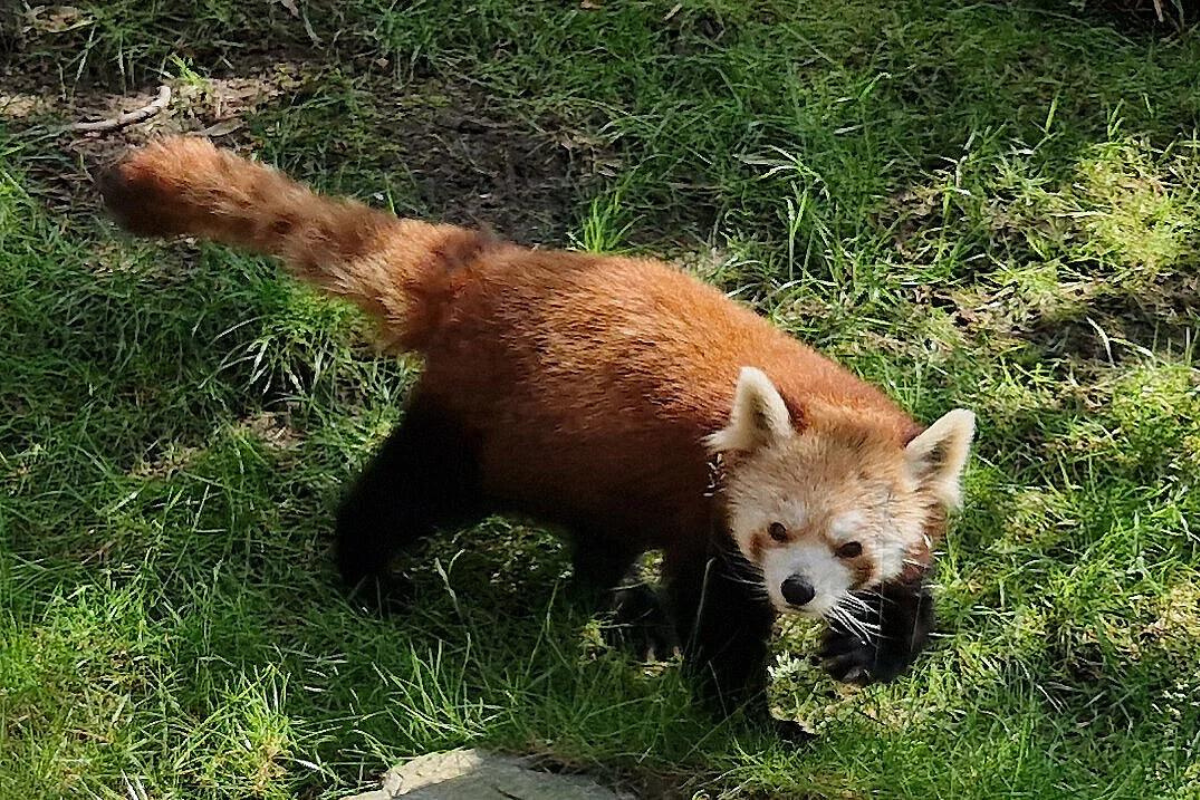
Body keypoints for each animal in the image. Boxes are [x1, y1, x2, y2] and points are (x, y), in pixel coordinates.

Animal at [98, 136, 969, 738]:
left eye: (851, 547)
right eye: (776, 531)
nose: (796, 592)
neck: (822, 394)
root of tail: (488, 269)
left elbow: (909, 592)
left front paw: (871, 653)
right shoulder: (712, 525)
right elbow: (719, 634)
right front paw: (758, 726)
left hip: (591, 459)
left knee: (600, 535)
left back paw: (625, 610)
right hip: (477, 434)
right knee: (404, 494)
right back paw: (369, 578)